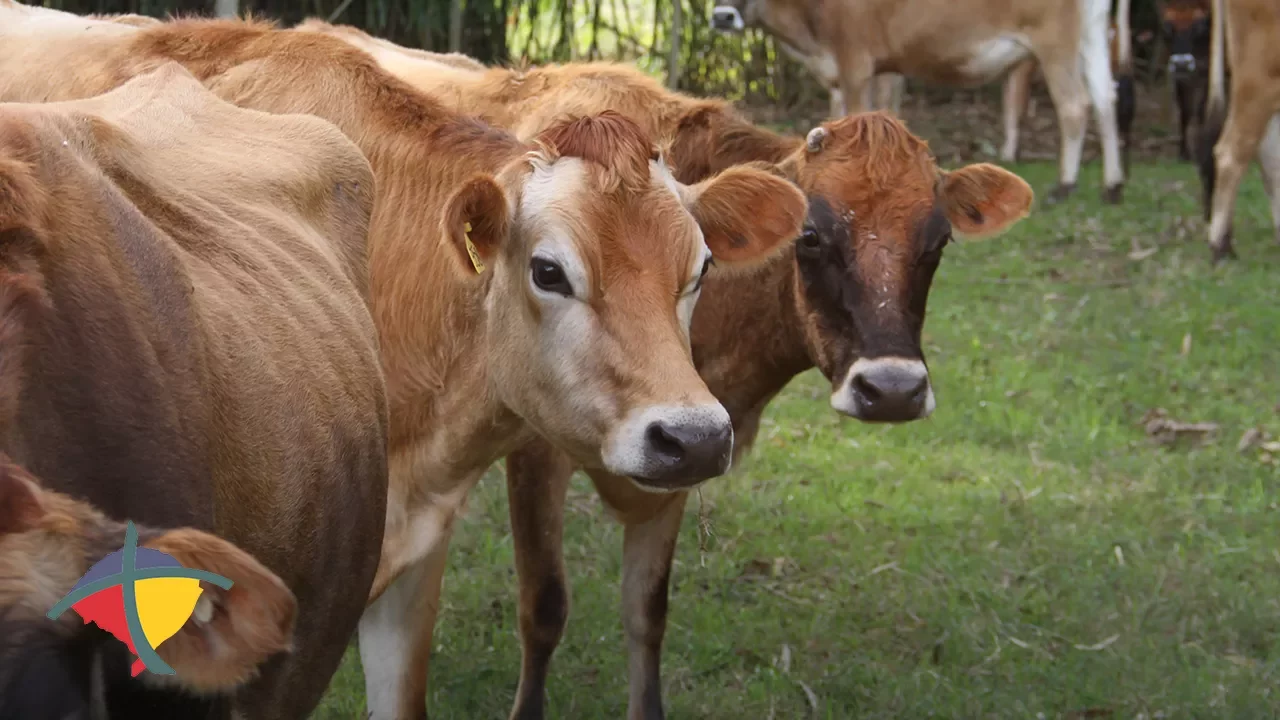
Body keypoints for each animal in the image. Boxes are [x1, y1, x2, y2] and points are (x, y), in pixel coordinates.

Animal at [297, 24, 1035, 720]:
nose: (893, 390)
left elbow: (647, 612)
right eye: (812, 236)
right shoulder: (534, 454)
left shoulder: (692, 443)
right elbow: (544, 606)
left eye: (939, 240)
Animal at [710, 0, 1126, 204]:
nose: (722, 16)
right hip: (1091, 36)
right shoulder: (884, 68)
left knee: (1074, 104)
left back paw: (1066, 184)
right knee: (1106, 97)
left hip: (1055, 41)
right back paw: (1113, 185)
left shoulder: (855, 60)